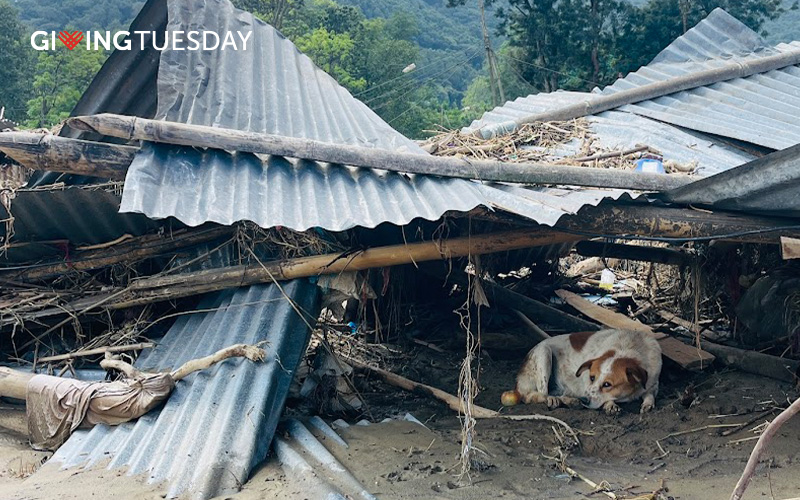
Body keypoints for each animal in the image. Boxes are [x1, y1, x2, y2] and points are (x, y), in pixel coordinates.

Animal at [500, 328, 664, 414]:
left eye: (607, 384)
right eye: (592, 377)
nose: (584, 400)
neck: (628, 347)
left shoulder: (653, 383)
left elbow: (650, 395)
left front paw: (647, 404)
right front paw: (610, 405)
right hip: (543, 353)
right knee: (539, 394)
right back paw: (562, 400)